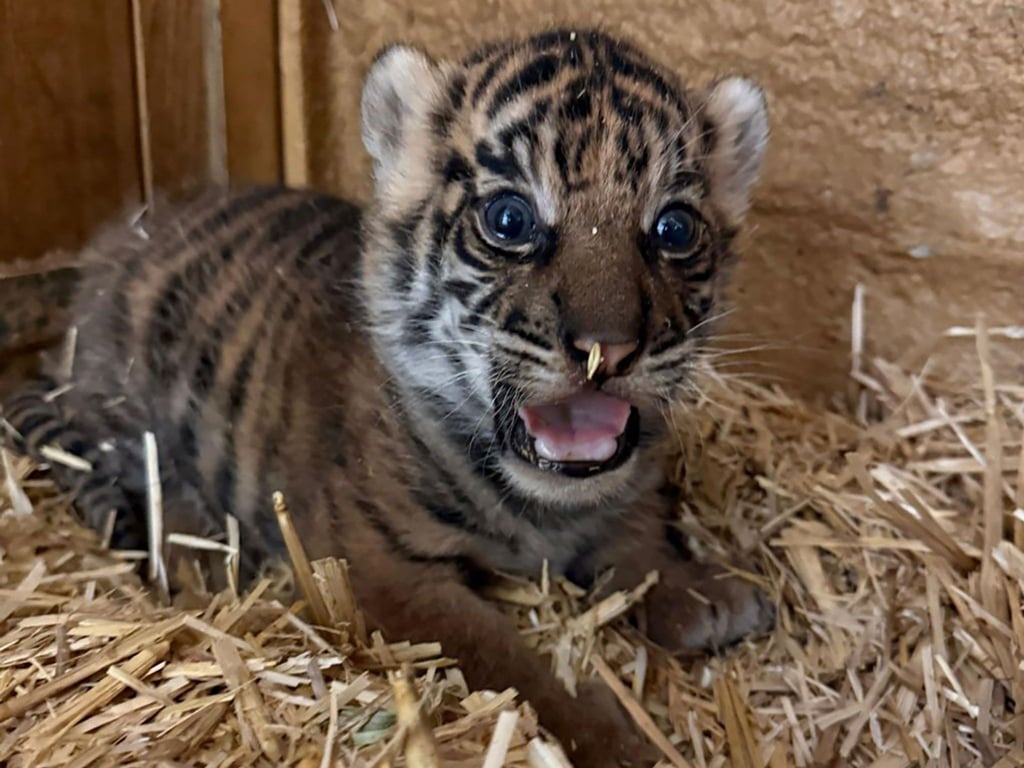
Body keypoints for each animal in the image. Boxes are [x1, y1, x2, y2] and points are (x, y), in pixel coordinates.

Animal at [2, 28, 773, 766]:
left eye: (674, 229)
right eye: (511, 220)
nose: (606, 349)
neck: (544, 505)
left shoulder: (623, 493)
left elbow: (640, 538)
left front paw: (705, 593)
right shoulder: (383, 572)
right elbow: (512, 663)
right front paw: (616, 742)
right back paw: (200, 565)